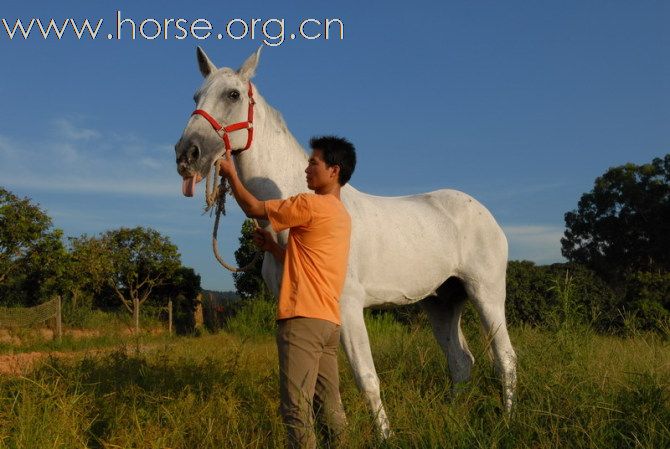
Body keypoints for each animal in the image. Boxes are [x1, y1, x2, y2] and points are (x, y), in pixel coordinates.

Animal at [176, 47, 516, 436]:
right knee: (460, 361)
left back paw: (508, 421)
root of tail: (486, 214)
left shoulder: (349, 306)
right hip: (442, 301)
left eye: (232, 95)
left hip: (486, 292)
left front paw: (386, 437)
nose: (187, 155)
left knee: (504, 357)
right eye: (195, 97)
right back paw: (456, 414)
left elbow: (366, 377)